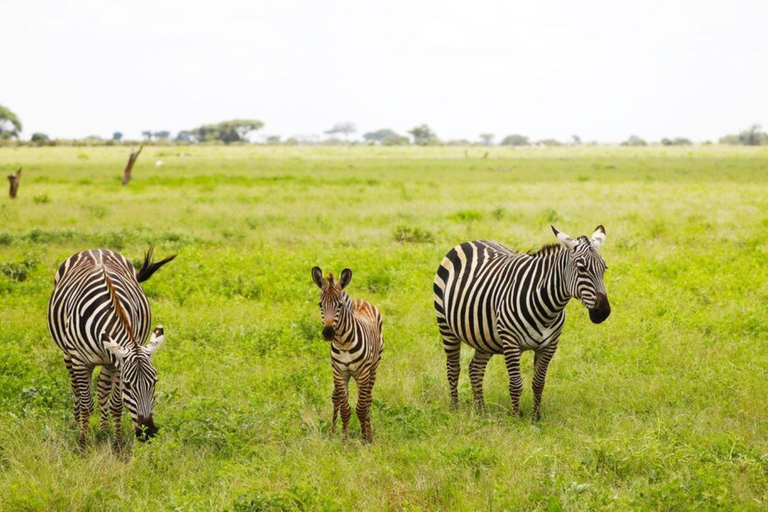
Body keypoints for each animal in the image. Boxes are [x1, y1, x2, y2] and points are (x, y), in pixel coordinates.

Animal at [47, 246, 176, 446]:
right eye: (128, 385)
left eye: (154, 382)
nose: (148, 433)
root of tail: (96, 249)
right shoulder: (80, 360)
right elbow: (86, 403)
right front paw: (83, 443)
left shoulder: (116, 362)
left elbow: (116, 404)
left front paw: (116, 444)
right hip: (68, 354)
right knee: (75, 387)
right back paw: (76, 424)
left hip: (107, 361)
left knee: (101, 388)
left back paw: (103, 428)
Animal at [312, 266, 384, 442]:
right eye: (320, 304)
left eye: (339, 305)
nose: (328, 333)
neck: (343, 343)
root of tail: (360, 300)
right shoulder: (340, 373)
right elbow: (345, 409)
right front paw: (344, 441)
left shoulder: (363, 374)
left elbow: (361, 408)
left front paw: (366, 439)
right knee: (337, 397)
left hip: (374, 367)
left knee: (368, 400)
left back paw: (369, 432)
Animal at [436, 226, 608, 418]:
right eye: (581, 268)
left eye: (604, 269)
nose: (603, 311)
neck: (548, 309)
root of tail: (470, 241)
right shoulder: (511, 343)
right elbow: (516, 384)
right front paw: (516, 417)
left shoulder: (549, 346)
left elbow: (539, 383)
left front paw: (535, 418)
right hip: (446, 327)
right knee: (453, 367)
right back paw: (455, 408)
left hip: (484, 337)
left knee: (475, 369)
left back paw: (481, 410)